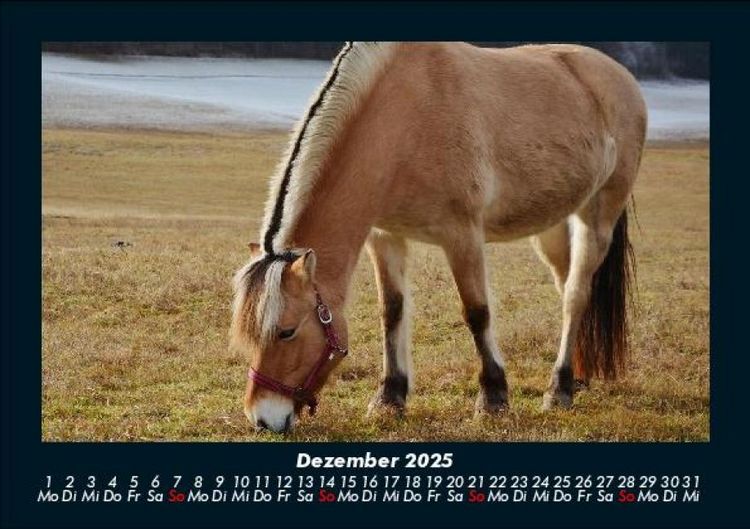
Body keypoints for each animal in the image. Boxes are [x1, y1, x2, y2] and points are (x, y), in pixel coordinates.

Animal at [231, 42, 646, 433]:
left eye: (286, 331)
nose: (263, 418)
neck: (405, 119)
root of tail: (620, 77)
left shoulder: (462, 236)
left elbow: (476, 312)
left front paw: (493, 399)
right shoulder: (385, 237)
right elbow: (392, 311)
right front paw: (390, 398)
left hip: (597, 215)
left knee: (576, 295)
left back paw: (559, 389)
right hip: (553, 227)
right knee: (568, 288)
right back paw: (579, 377)